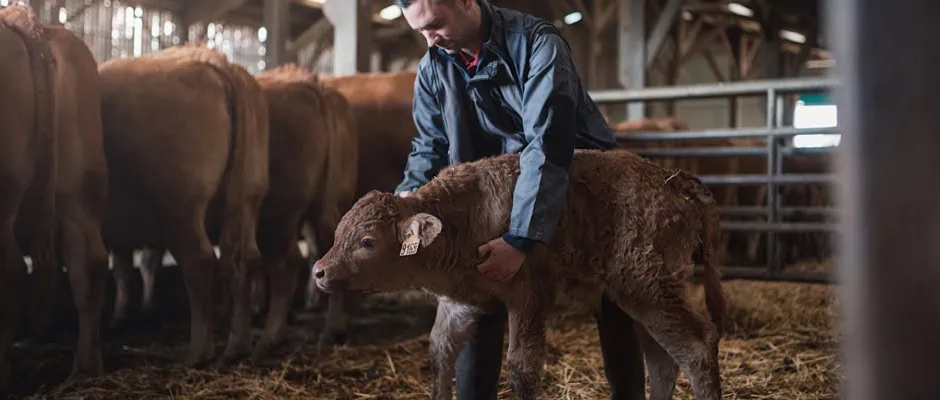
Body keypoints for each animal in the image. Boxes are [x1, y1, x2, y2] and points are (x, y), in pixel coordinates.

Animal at [98, 45, 269, 366]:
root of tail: (217, 62)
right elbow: (128, 269)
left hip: (180, 208)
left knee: (199, 262)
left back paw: (198, 353)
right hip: (249, 199)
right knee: (247, 260)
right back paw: (238, 346)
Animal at [312, 149, 727, 400]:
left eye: (367, 241)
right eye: (338, 232)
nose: (319, 270)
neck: (467, 218)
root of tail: (673, 179)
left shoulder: (529, 297)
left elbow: (522, 368)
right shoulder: (460, 302)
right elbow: (440, 354)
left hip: (646, 286)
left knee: (696, 347)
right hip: (644, 296)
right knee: (661, 357)